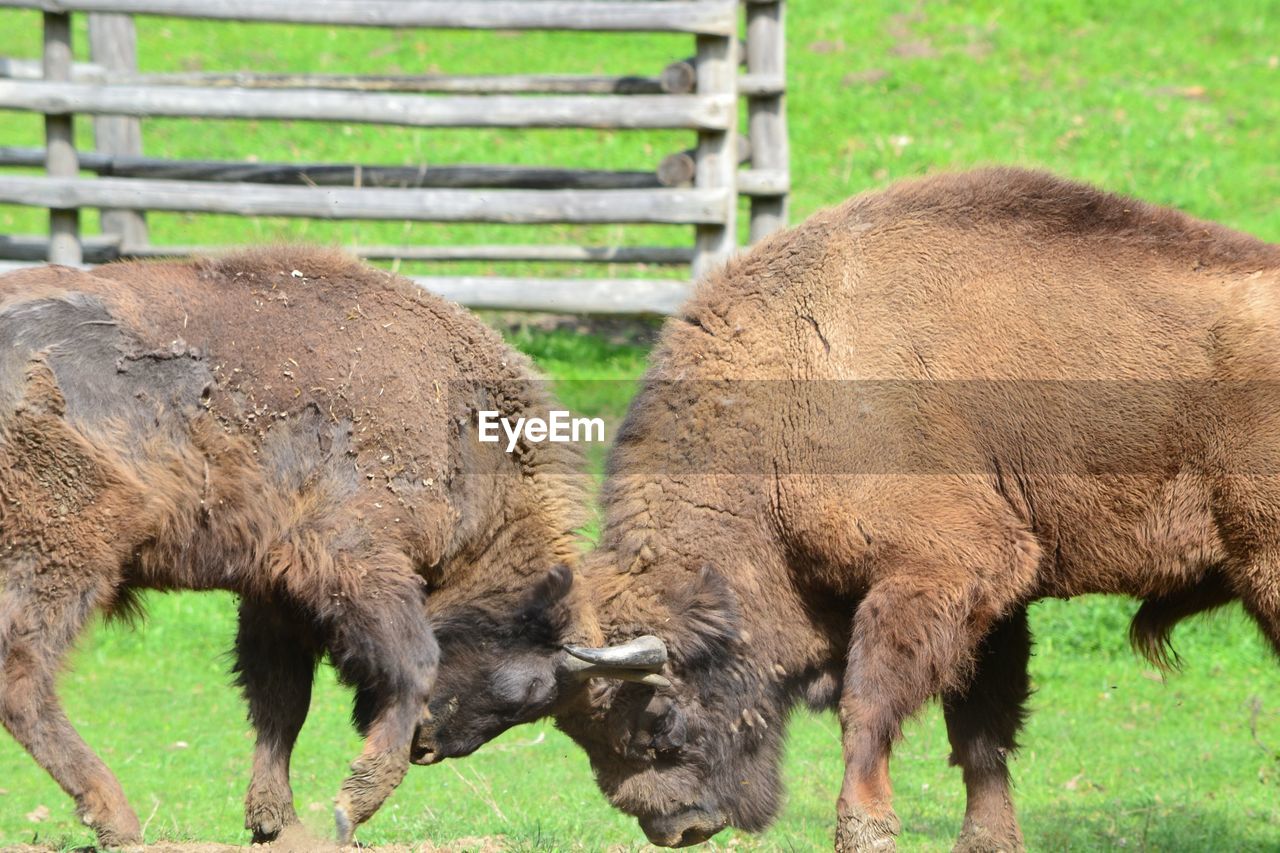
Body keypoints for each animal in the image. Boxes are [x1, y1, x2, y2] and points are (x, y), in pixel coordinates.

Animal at [409, 169, 1280, 845]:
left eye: (650, 720)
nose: (678, 825)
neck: (789, 380)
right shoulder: (998, 600)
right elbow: (981, 735)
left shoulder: (943, 570)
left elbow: (871, 712)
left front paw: (863, 826)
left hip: (1266, 567)